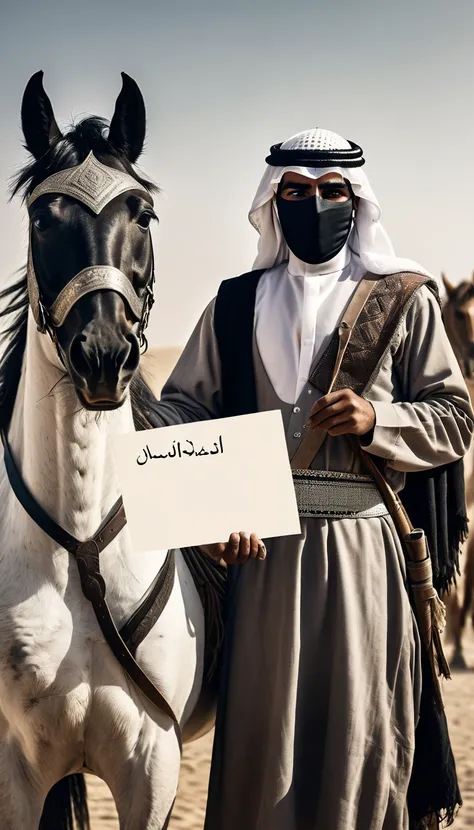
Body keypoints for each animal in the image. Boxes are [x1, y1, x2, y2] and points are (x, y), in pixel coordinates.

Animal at [0, 71, 215, 830]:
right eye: (43, 218)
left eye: (142, 215)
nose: (102, 357)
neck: (80, 548)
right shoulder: (17, 770)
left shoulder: (151, 766)